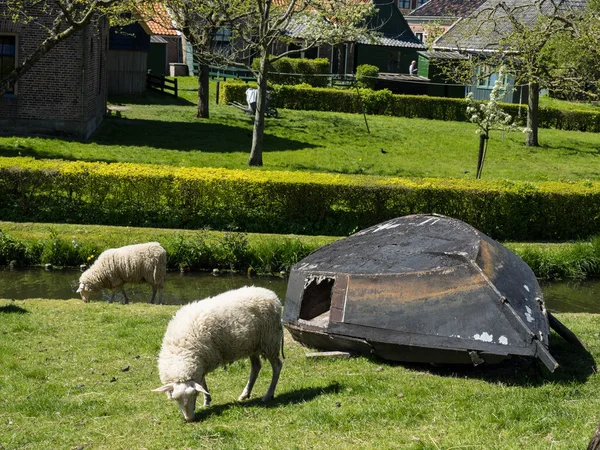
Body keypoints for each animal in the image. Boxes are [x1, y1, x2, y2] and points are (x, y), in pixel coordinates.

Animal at [155, 288, 286, 422]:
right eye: (175, 399)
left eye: (194, 394)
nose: (189, 419)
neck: (181, 351)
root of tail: (272, 295)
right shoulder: (201, 362)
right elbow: (202, 382)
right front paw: (207, 401)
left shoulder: (204, 359)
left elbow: (202, 382)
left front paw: (206, 401)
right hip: (252, 345)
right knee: (256, 367)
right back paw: (245, 394)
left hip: (270, 340)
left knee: (277, 366)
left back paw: (268, 395)